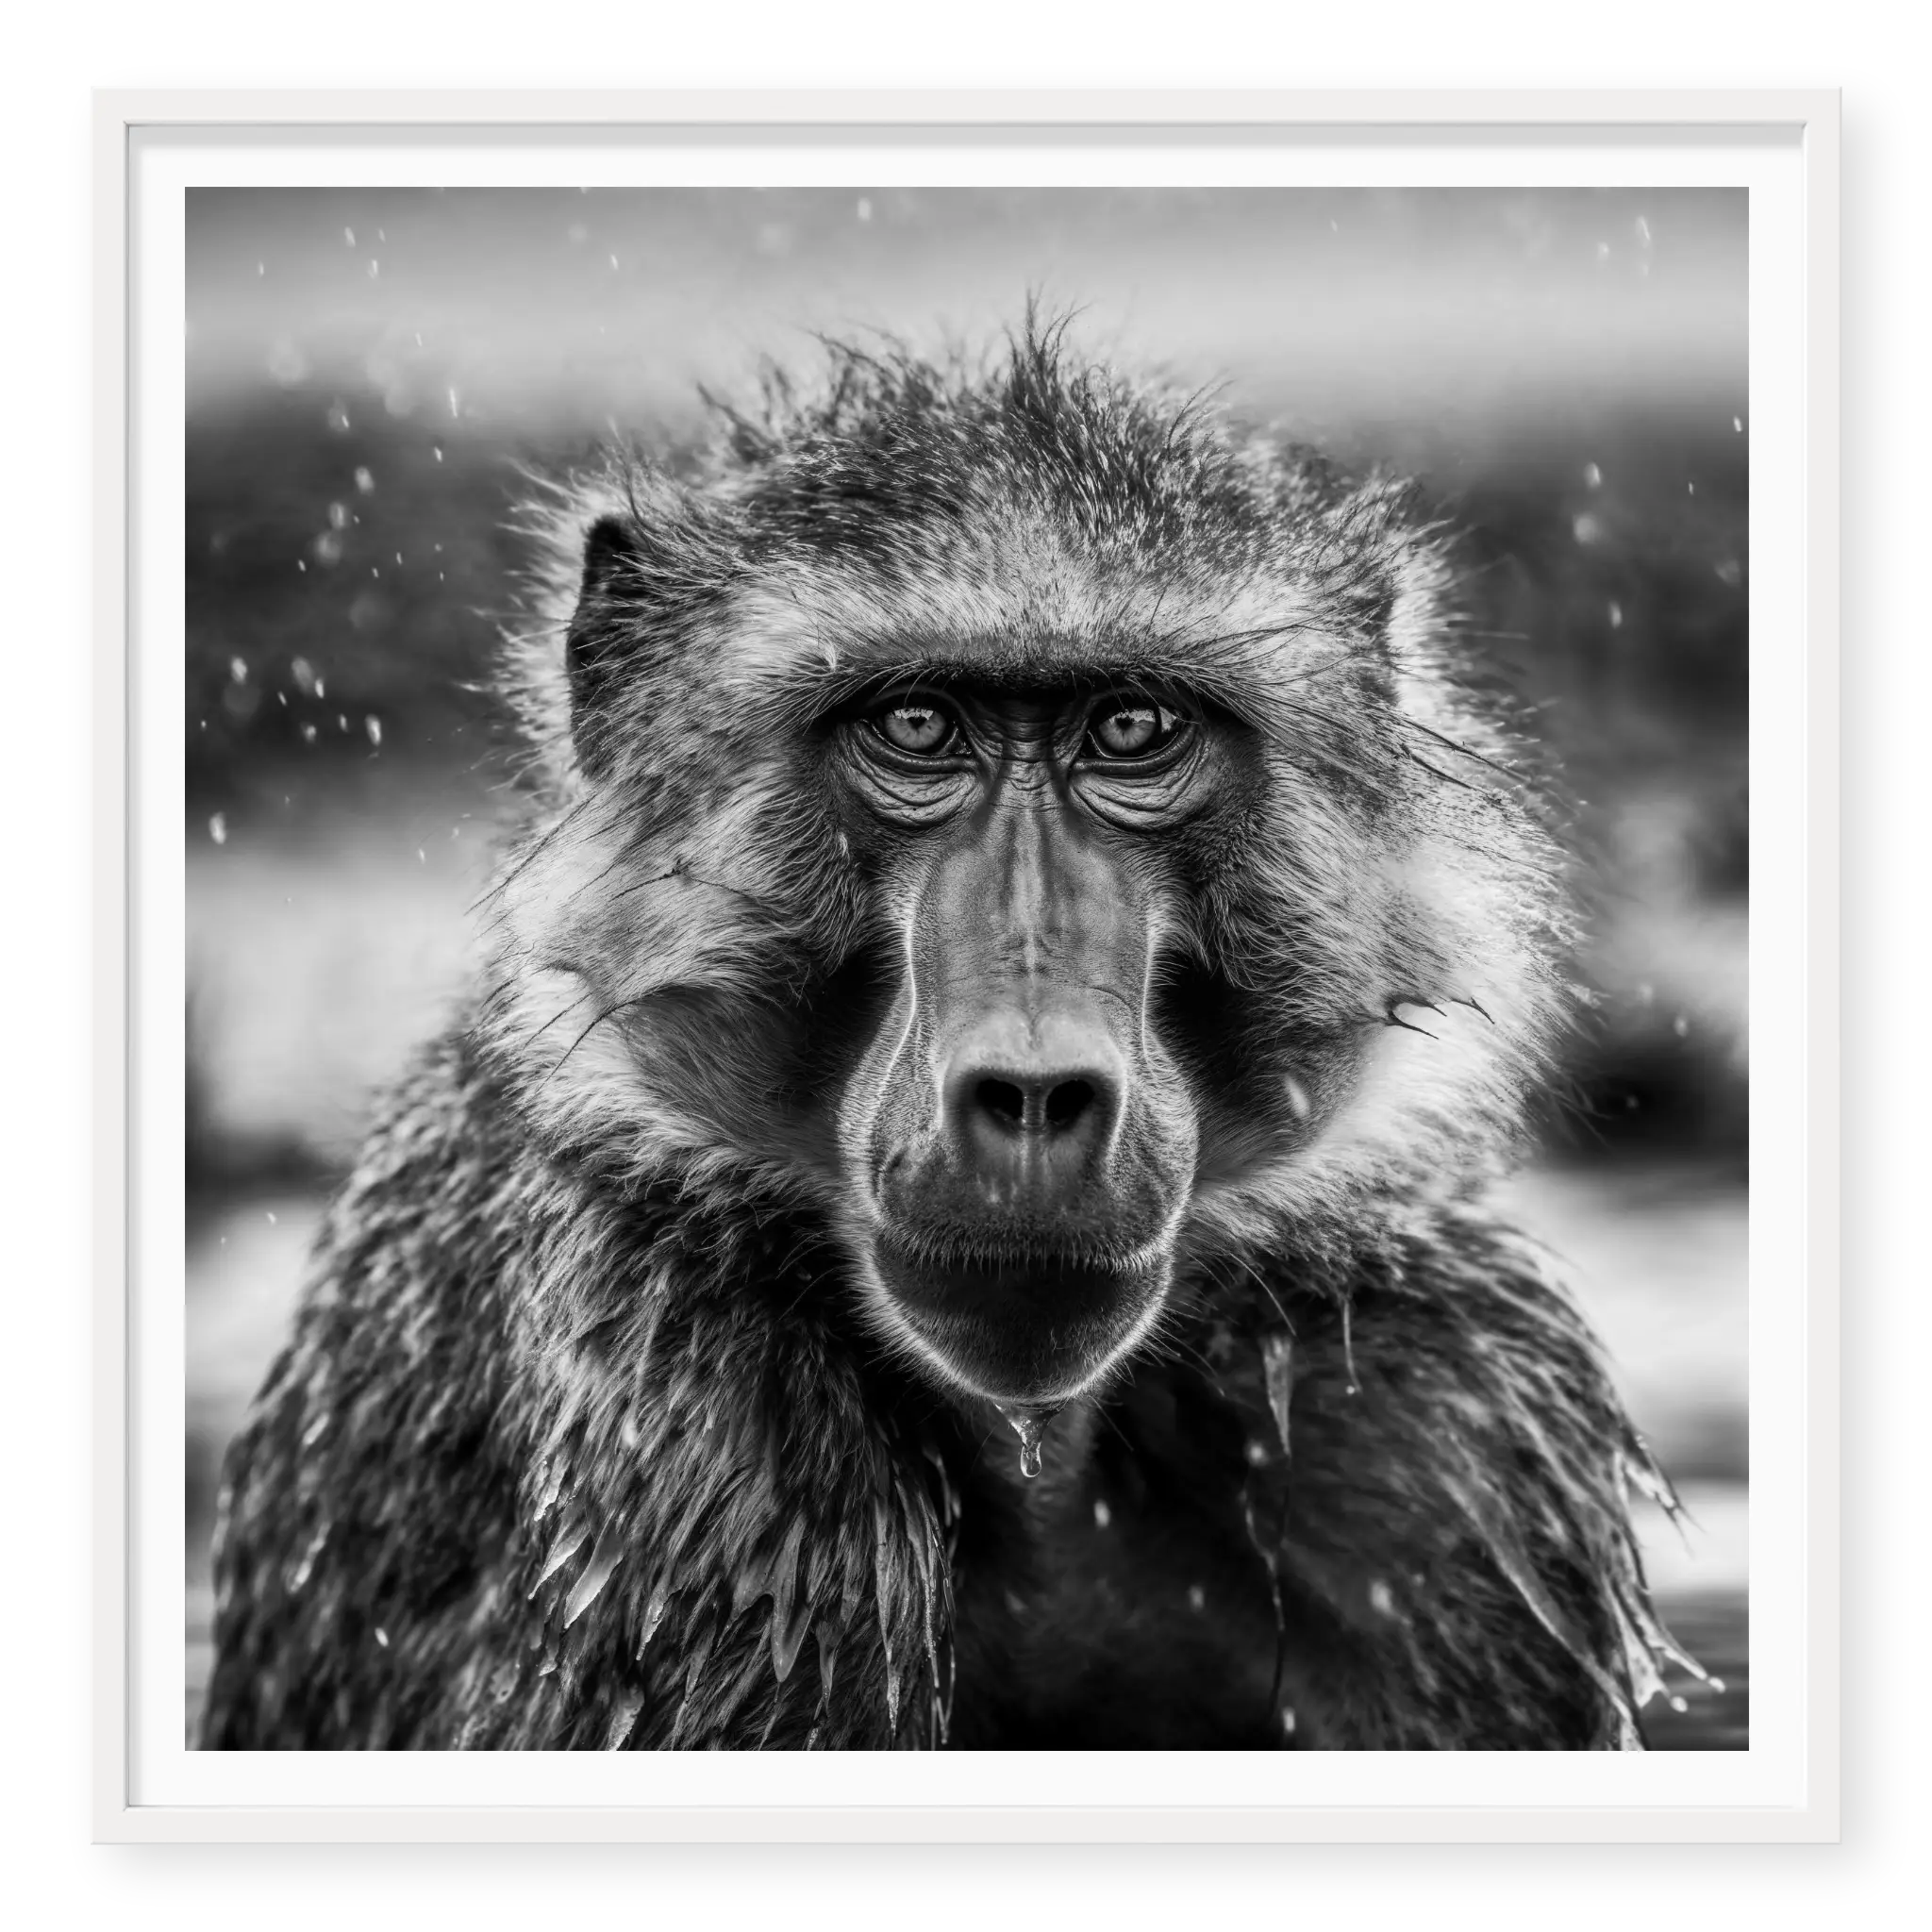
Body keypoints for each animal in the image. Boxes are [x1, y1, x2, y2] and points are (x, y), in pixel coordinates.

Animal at [201, 317, 1715, 1751]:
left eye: (1131, 729)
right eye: (918, 726)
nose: (1035, 1089)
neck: (1044, 1456)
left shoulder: (1449, 1433)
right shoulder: (699, 1432)